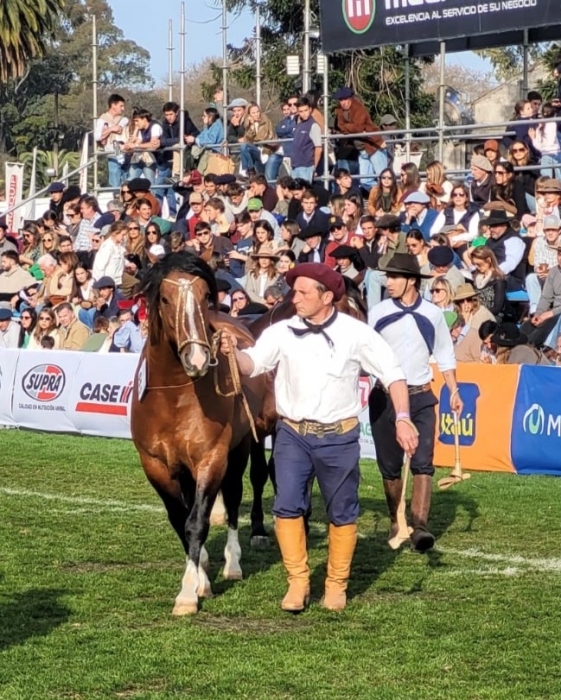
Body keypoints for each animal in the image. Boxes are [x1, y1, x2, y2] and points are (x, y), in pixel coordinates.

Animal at [130, 252, 266, 612]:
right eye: (165, 299)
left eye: (206, 296)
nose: (198, 358)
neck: (173, 397)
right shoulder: (155, 464)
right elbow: (180, 518)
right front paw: (201, 578)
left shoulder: (211, 457)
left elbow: (197, 521)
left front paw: (188, 594)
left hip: (239, 448)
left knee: (232, 497)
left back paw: (233, 564)